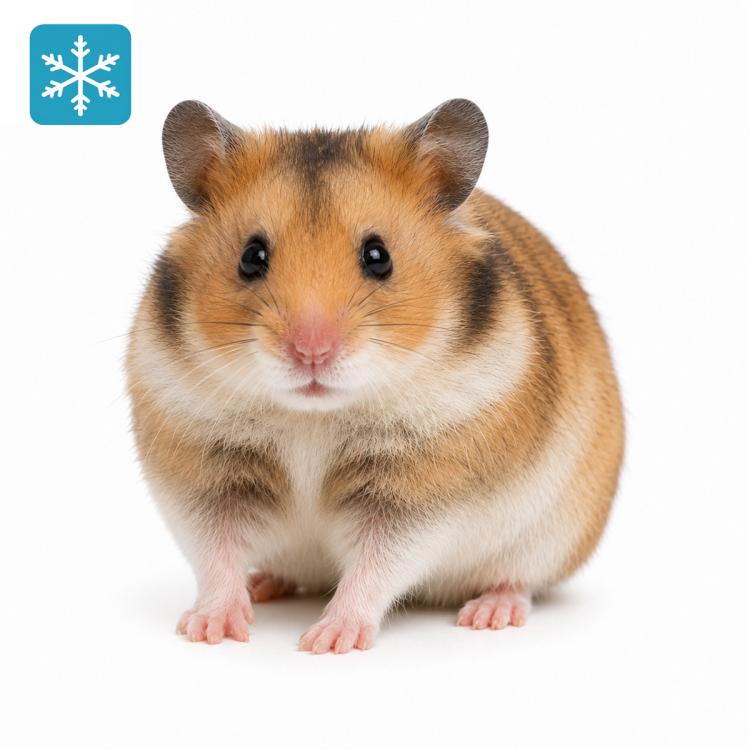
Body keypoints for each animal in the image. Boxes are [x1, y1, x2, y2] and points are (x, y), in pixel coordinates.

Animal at [127, 99, 624, 653]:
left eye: (378, 256)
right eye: (251, 256)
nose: (312, 352)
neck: (312, 417)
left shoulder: (417, 497)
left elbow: (376, 566)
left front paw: (327, 640)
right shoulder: (204, 479)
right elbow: (215, 554)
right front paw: (208, 630)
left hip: (553, 536)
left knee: (519, 579)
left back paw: (489, 614)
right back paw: (264, 584)